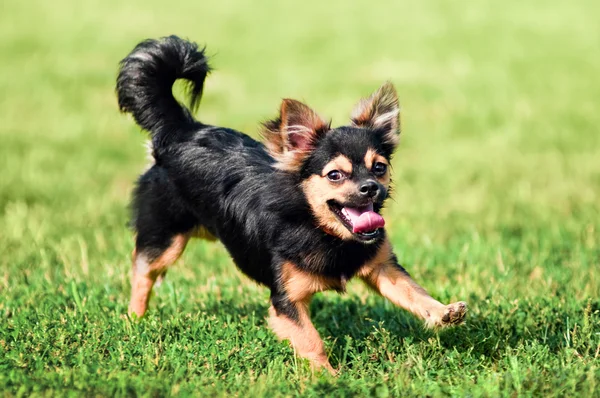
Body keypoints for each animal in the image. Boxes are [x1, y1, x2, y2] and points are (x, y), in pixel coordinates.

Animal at [115, 35, 466, 372]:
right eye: (335, 175)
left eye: (379, 167)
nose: (371, 188)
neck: (323, 230)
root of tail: (181, 130)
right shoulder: (286, 301)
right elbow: (311, 340)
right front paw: (327, 376)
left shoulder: (382, 266)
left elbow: (412, 291)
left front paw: (443, 311)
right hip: (166, 238)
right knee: (142, 271)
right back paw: (134, 320)